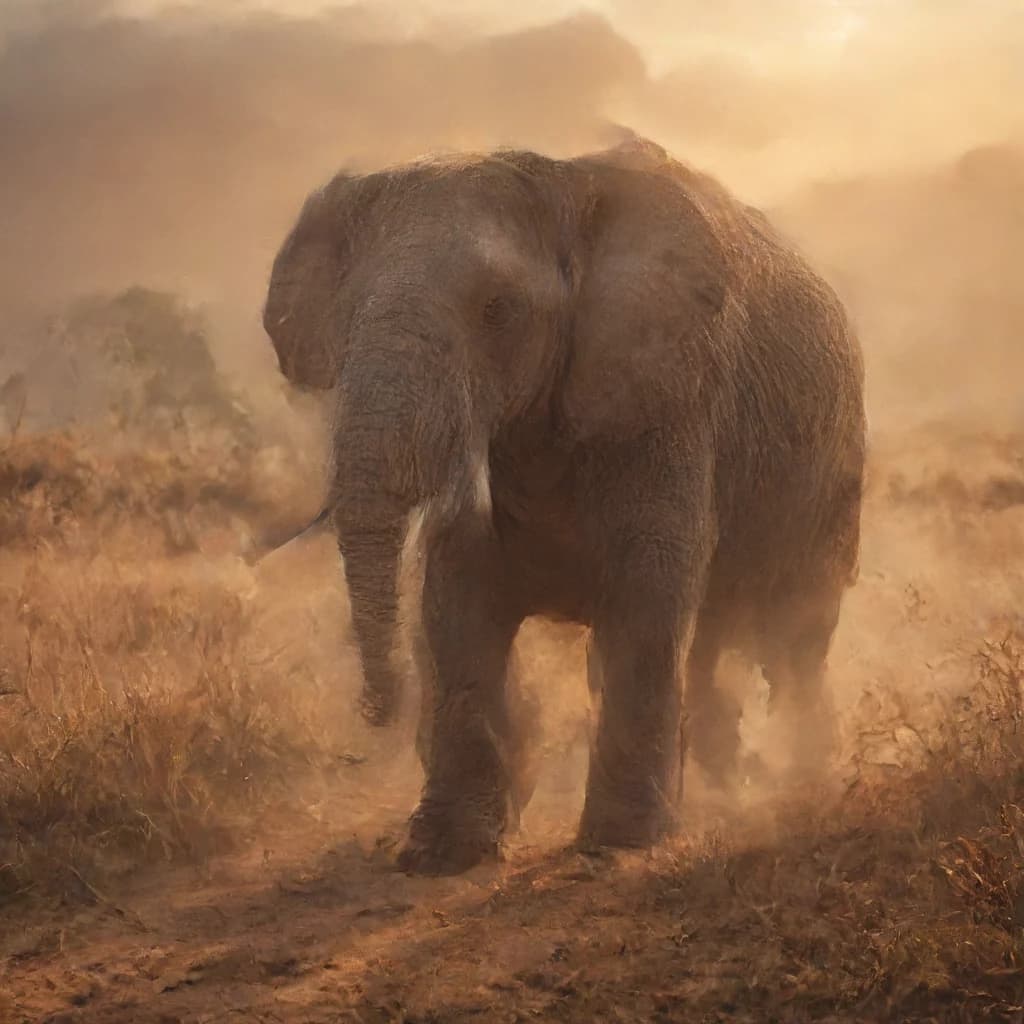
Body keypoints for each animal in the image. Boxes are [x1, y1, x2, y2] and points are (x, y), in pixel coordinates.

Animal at [262, 135, 866, 876]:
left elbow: (647, 589)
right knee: (717, 635)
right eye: (344, 317)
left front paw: (620, 842)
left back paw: (800, 783)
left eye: (497, 310)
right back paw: (728, 784)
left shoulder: (670, 392)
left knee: (797, 635)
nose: (377, 713)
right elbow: (455, 600)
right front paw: (442, 853)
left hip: (835, 471)